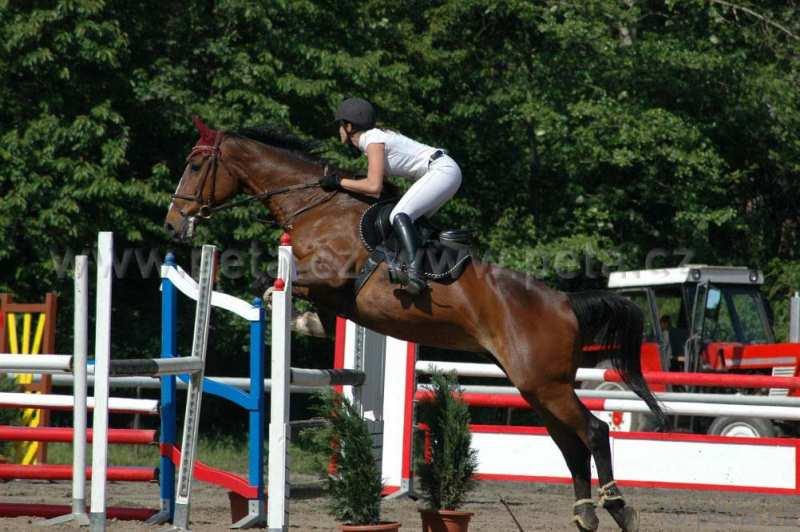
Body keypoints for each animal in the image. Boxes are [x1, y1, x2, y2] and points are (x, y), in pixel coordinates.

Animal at [164, 117, 665, 532]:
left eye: (194, 165)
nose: (173, 225)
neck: (315, 205)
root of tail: (564, 302)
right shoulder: (331, 301)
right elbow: (305, 312)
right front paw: (281, 315)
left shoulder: (329, 275)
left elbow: (272, 279)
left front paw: (269, 298)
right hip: (536, 387)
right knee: (571, 444)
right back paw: (586, 514)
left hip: (546, 384)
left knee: (594, 432)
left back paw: (618, 507)